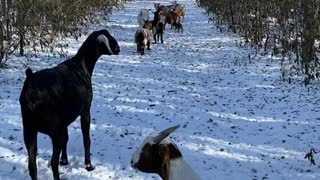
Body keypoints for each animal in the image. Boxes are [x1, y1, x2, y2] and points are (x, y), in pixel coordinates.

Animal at [19, 29, 120, 180]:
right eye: (109, 38)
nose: (118, 49)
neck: (81, 66)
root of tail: (31, 86)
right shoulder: (85, 111)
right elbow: (86, 139)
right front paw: (88, 165)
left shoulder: (64, 122)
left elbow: (67, 139)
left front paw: (65, 160)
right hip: (54, 132)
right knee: (53, 163)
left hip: (29, 131)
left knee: (33, 167)